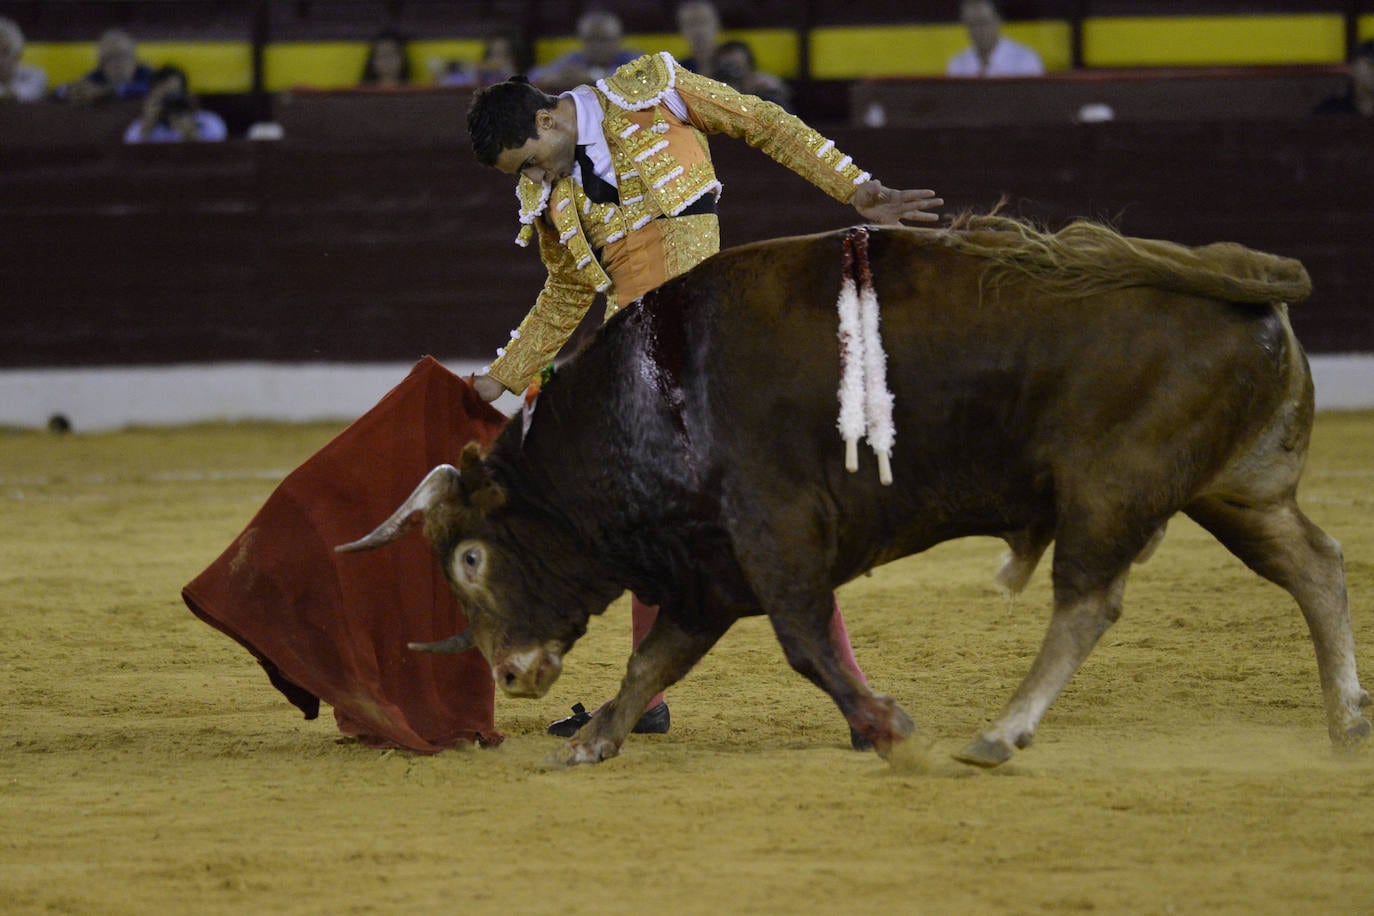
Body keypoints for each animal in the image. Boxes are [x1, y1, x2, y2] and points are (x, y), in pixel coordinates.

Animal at [338, 216, 1368, 769]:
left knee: (1089, 600)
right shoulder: (710, 572)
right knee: (1314, 564)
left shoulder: (772, 536)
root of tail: (1235, 275)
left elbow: (800, 643)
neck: (654, 398)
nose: (511, 674)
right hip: (1233, 490)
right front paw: (593, 740)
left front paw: (885, 726)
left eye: (471, 558)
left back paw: (1001, 732)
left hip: (1111, 487)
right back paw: (1346, 720)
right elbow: (653, 662)